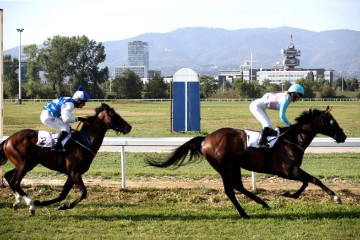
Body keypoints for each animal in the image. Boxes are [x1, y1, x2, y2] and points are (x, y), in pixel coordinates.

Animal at [0, 102, 132, 215]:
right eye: (113, 115)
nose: (129, 127)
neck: (84, 142)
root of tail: (8, 139)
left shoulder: (72, 174)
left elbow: (63, 195)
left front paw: (57, 205)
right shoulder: (74, 172)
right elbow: (83, 192)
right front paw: (54, 204)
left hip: (27, 164)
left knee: (8, 177)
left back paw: (18, 202)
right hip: (24, 164)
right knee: (15, 182)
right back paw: (31, 205)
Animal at [146, 106, 346, 218]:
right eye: (332, 122)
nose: (343, 136)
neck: (292, 139)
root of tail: (205, 139)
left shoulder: (291, 171)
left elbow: (306, 182)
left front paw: (290, 194)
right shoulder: (288, 170)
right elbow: (313, 180)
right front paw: (336, 197)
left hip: (232, 166)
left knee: (237, 187)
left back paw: (261, 204)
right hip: (225, 166)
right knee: (231, 189)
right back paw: (246, 212)